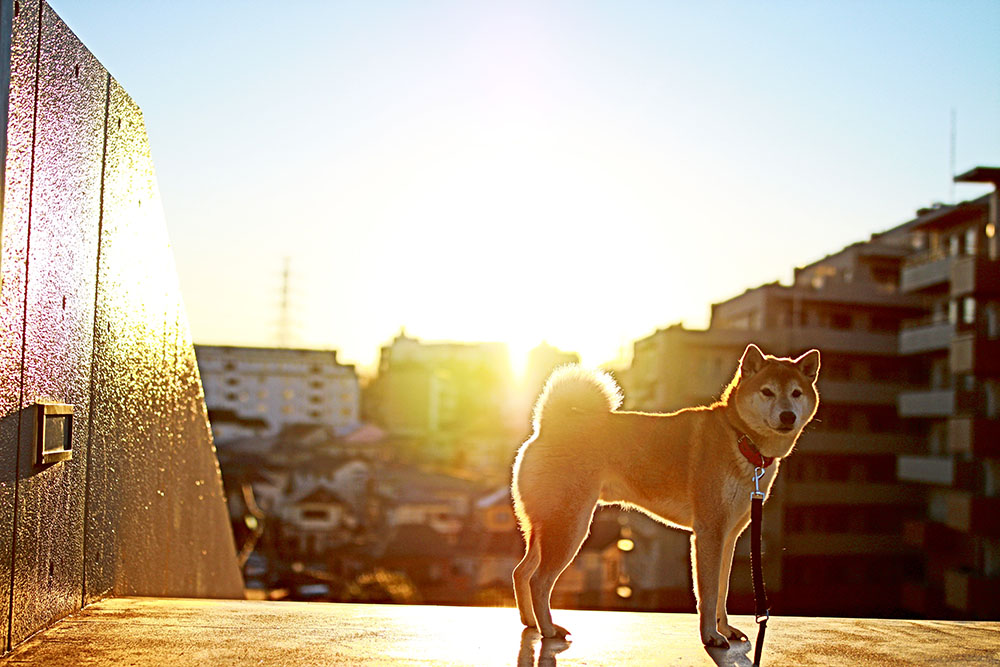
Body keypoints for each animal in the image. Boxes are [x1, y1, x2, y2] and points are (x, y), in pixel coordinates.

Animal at [511, 343, 819, 647]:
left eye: (796, 393)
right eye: (767, 391)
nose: (788, 415)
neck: (741, 439)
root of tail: (547, 426)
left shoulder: (729, 534)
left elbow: (722, 590)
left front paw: (725, 629)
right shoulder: (710, 532)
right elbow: (708, 593)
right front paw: (711, 635)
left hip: (548, 526)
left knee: (521, 572)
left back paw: (530, 622)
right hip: (570, 527)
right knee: (538, 580)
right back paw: (548, 629)